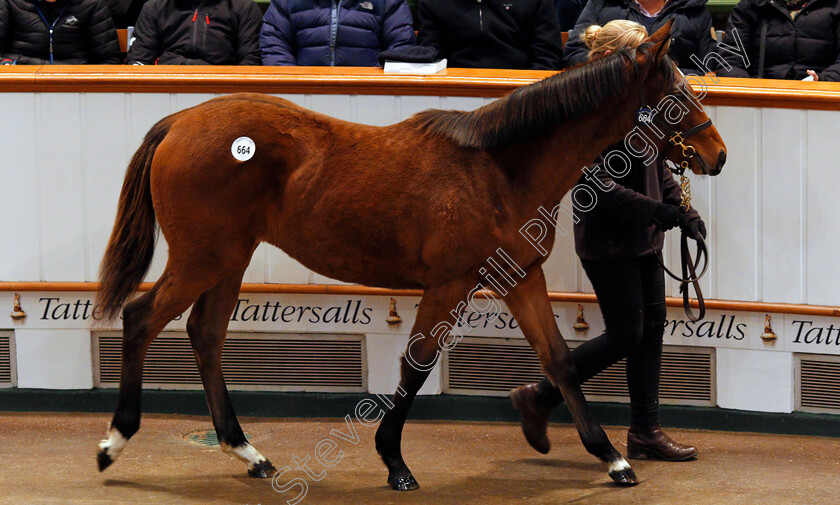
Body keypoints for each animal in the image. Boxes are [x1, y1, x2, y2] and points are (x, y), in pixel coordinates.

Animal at [92, 22, 724, 488]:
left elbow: (560, 360)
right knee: (142, 319)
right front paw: (394, 461)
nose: (715, 154)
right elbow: (417, 365)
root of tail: (180, 121)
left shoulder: (521, 279)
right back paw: (114, 442)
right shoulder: (449, 284)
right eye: (675, 94)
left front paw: (610, 457)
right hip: (201, 258)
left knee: (206, 334)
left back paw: (247, 451)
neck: (499, 171)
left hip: (229, 260)